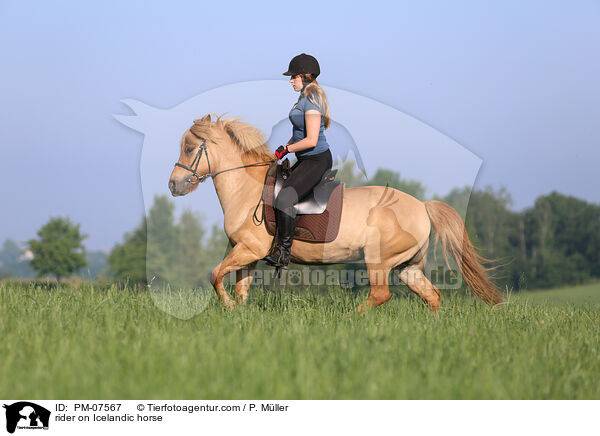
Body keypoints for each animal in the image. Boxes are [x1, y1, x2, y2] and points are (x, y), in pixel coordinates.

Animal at [168, 112, 502, 310]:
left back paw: (356, 317)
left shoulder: (250, 249)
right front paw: (237, 313)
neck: (247, 189)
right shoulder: (246, 254)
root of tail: (421, 206)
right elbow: (240, 288)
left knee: (380, 295)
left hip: (379, 260)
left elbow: (214, 275)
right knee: (432, 295)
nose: (174, 185)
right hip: (407, 266)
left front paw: (225, 306)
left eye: (189, 148)